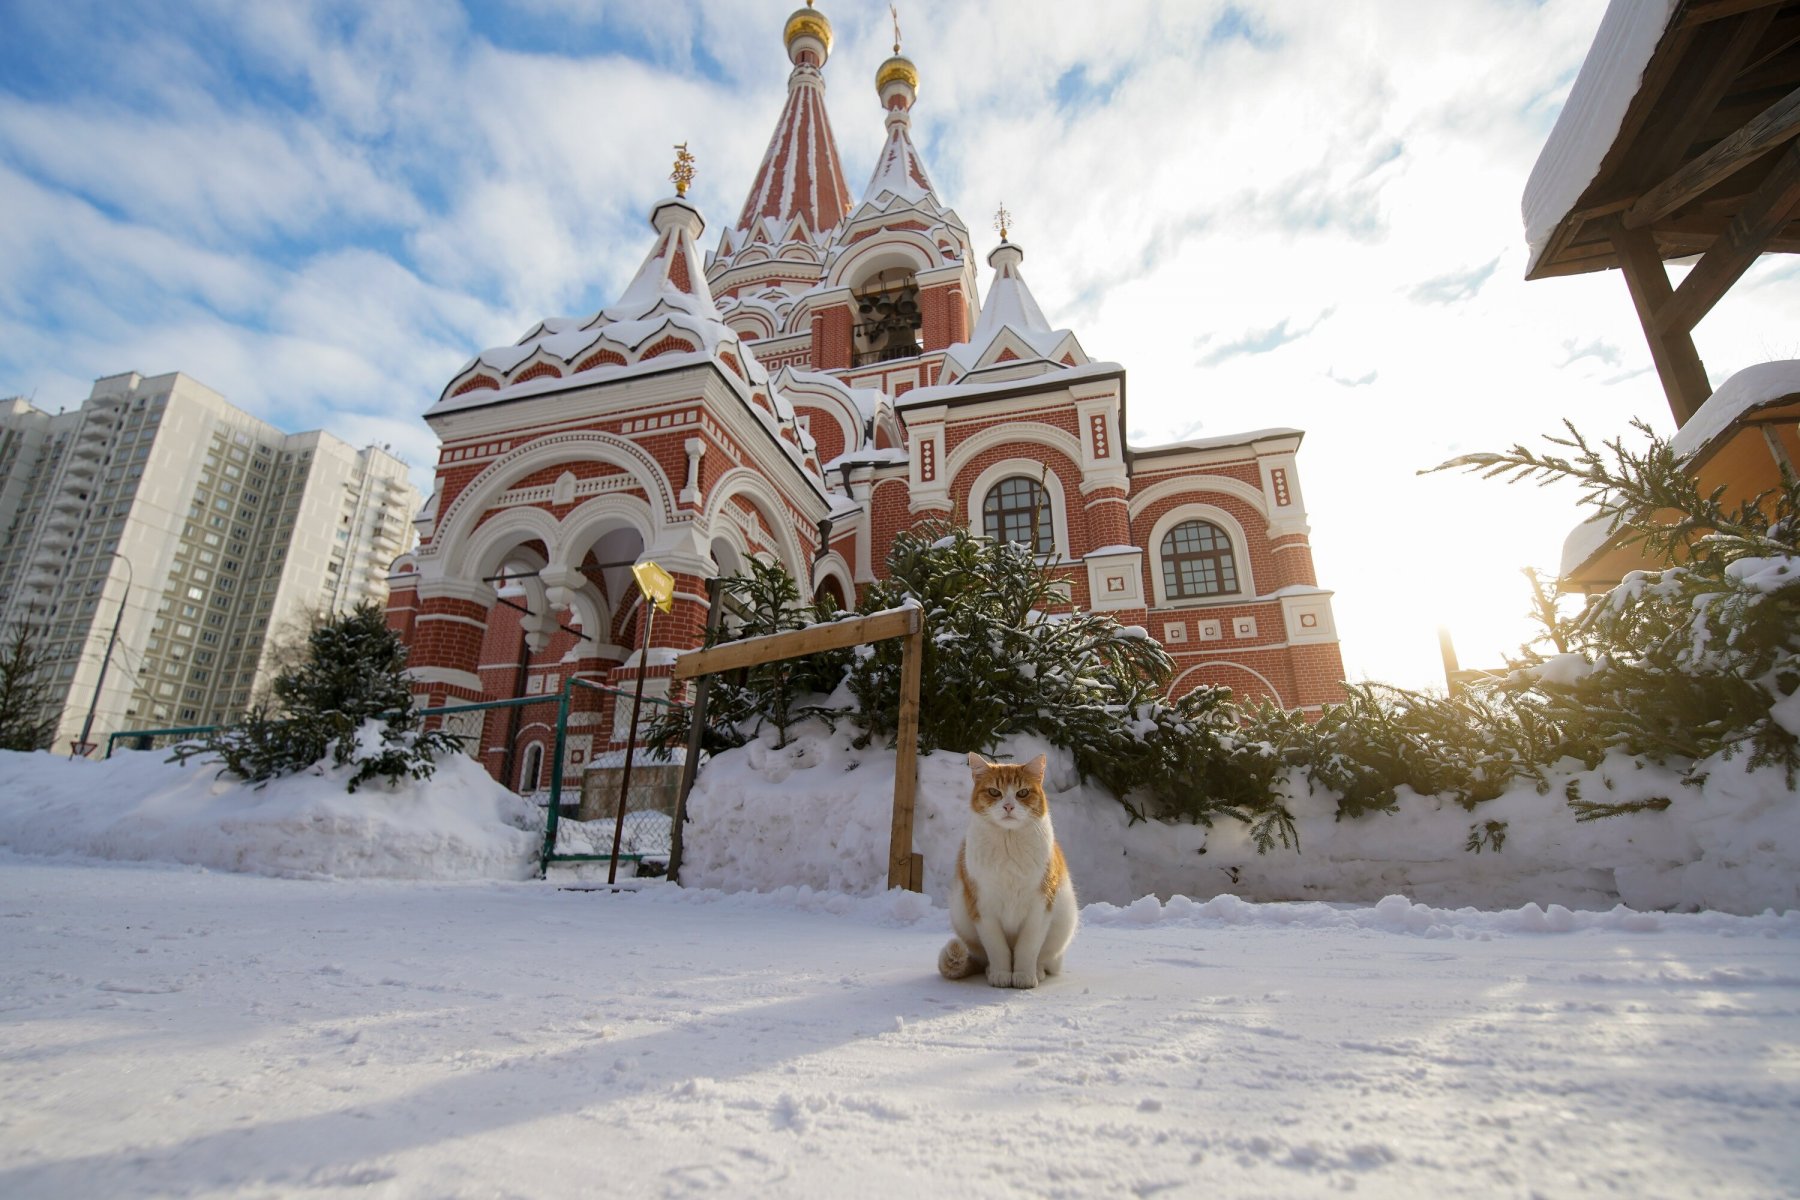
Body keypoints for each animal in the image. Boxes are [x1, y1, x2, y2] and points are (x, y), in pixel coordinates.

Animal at [936, 755, 1072, 993]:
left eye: (1022, 793)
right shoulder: (983, 909)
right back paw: (991, 970)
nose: (1009, 806)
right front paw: (1001, 975)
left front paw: (1023, 976)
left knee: (1045, 960)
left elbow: (1027, 948)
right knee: (984, 958)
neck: (1009, 844)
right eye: (994, 792)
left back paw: (1037, 971)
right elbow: (997, 948)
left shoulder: (1039, 908)